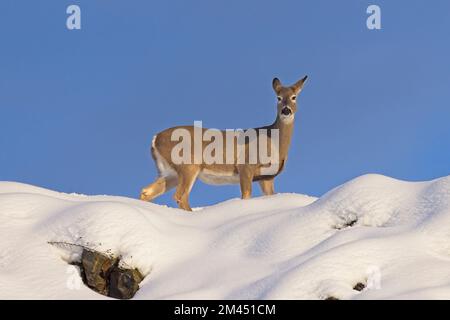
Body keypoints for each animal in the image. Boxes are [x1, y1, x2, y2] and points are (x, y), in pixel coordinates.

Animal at [141, 74, 308, 210]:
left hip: (169, 172)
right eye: (278, 98)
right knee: (180, 196)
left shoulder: (267, 177)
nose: (286, 110)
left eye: (294, 97)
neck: (273, 140)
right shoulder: (245, 166)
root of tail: (155, 138)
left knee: (146, 192)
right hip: (188, 164)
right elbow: (246, 196)